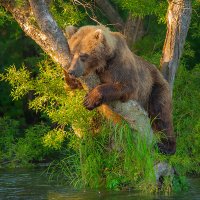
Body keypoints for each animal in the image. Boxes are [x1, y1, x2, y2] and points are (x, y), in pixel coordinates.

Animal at [65, 25, 175, 155]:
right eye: (72, 53)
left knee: (161, 113)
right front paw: (70, 77)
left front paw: (90, 100)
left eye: (83, 55)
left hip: (156, 86)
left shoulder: (120, 65)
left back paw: (167, 146)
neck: (103, 63)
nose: (72, 71)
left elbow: (127, 86)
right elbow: (73, 85)